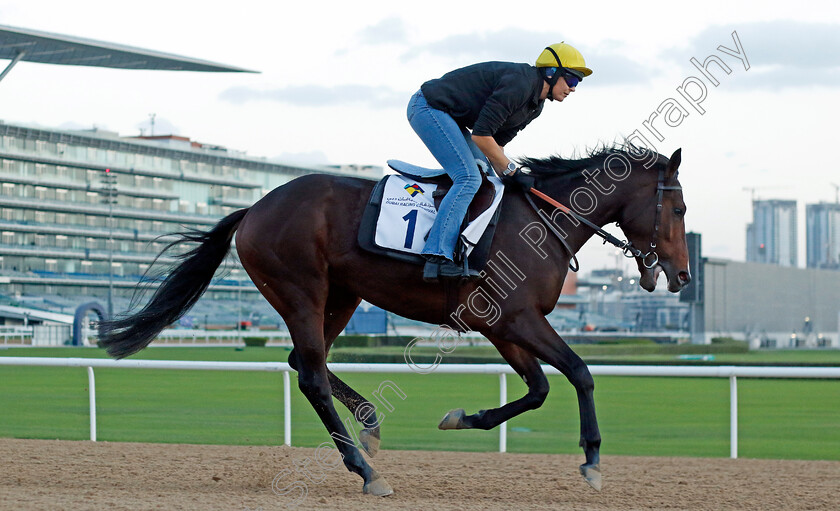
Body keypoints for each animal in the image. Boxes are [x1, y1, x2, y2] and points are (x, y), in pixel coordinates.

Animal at [98, 146, 688, 498]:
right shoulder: (516, 318)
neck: (542, 220)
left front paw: (463, 417)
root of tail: (255, 208)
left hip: (341, 296)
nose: (681, 275)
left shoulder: (504, 326)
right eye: (679, 210)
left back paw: (369, 423)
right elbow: (580, 372)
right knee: (310, 374)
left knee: (305, 362)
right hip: (302, 290)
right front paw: (592, 459)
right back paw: (365, 471)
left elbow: (540, 388)